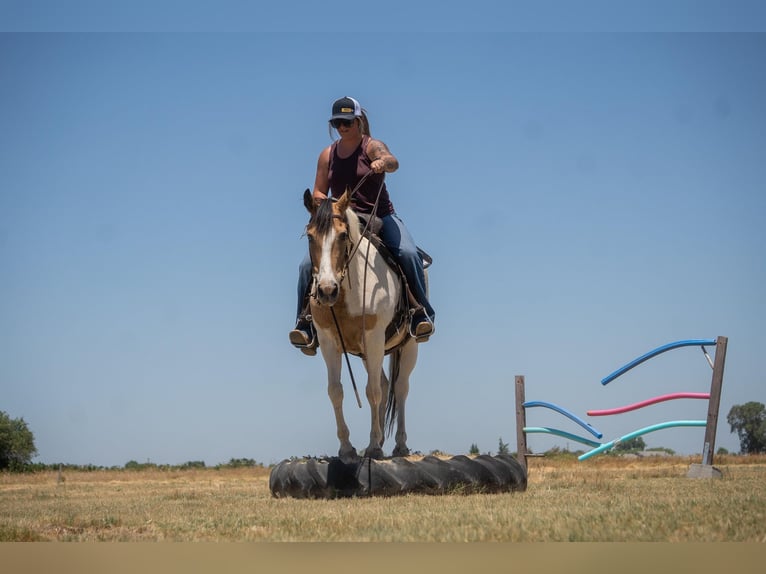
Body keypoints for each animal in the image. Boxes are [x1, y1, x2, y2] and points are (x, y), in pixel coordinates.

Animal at [302, 188, 420, 461]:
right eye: (310, 236)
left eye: (343, 235)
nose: (326, 290)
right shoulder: (328, 343)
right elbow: (336, 391)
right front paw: (347, 448)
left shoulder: (374, 338)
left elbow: (372, 392)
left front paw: (374, 447)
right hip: (369, 354)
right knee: (386, 385)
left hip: (408, 345)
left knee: (400, 388)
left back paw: (399, 445)